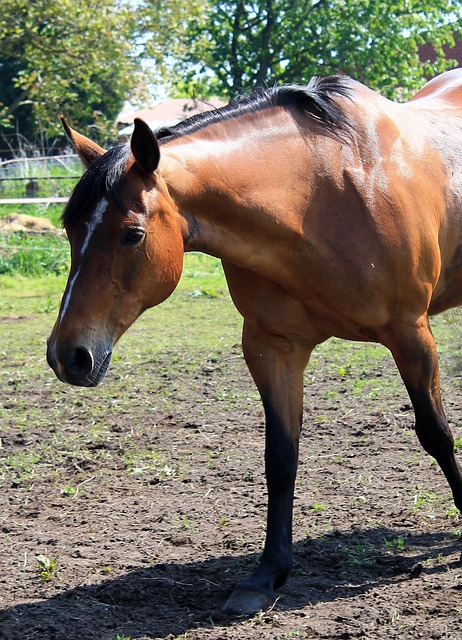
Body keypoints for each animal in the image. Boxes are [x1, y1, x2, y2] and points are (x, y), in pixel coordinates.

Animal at [47, 68, 462, 616]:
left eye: (132, 234)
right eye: (71, 229)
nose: (67, 356)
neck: (321, 198)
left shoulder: (411, 334)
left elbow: (436, 433)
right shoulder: (272, 348)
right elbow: (280, 457)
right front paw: (267, 575)